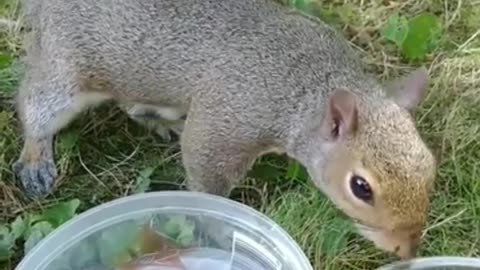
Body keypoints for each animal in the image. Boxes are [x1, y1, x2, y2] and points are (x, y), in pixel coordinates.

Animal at [15, 0, 436, 260]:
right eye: (360, 187)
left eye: (431, 166)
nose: (407, 249)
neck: (307, 86)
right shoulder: (228, 118)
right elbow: (207, 171)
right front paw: (211, 219)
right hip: (66, 68)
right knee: (36, 105)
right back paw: (36, 160)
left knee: (133, 105)